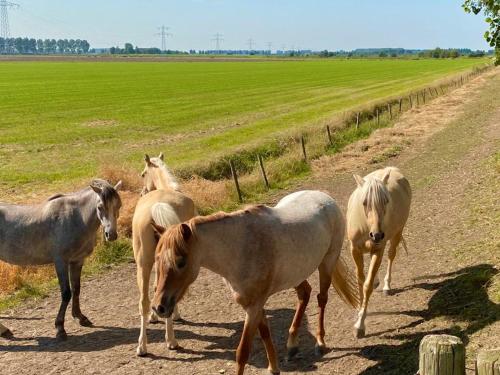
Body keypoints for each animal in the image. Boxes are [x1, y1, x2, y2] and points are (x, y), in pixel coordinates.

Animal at [0, 179, 122, 340]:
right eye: (100, 207)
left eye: (119, 205)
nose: (111, 235)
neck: (76, 218)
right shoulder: (60, 262)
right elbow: (66, 293)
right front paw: (60, 327)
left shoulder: (77, 261)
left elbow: (76, 289)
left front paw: (80, 317)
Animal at [132, 153, 196, 358]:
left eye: (143, 174)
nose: (142, 192)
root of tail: (157, 206)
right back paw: (171, 341)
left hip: (143, 264)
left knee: (143, 301)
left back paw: (143, 347)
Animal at [148, 192, 360, 374]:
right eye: (156, 259)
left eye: (180, 261)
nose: (159, 307)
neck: (241, 248)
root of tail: (325, 198)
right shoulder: (254, 305)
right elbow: (265, 335)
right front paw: (274, 368)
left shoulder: (253, 307)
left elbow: (242, 352)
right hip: (296, 274)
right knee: (305, 294)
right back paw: (292, 345)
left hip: (327, 262)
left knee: (321, 298)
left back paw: (320, 342)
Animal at [346, 167, 412, 338]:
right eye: (364, 202)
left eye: (386, 201)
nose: (377, 235)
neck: (366, 226)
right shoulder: (354, 250)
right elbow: (360, 280)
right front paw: (358, 309)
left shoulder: (378, 250)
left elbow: (367, 286)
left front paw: (360, 325)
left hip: (397, 233)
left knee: (391, 255)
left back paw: (386, 286)